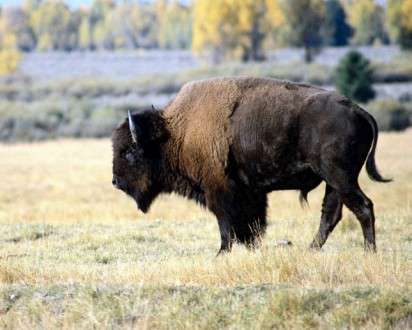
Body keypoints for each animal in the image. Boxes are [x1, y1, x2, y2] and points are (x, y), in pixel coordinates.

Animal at [112, 76, 390, 253]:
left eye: (129, 151)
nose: (115, 181)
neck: (176, 132)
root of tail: (359, 110)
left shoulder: (219, 191)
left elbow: (227, 224)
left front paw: (222, 253)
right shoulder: (251, 192)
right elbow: (252, 224)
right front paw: (252, 249)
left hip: (340, 177)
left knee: (363, 207)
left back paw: (369, 252)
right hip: (333, 182)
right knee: (331, 214)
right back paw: (310, 250)